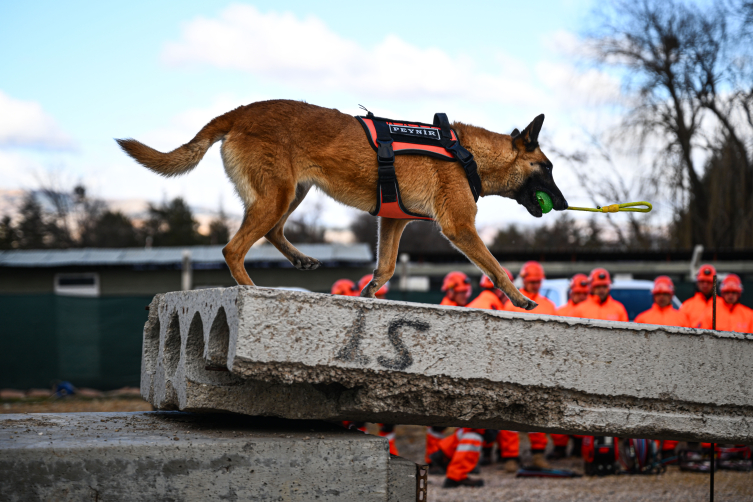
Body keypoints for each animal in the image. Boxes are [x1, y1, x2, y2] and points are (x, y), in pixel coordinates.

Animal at [116, 99, 564, 310]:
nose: (562, 204)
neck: (465, 153)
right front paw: (520, 298)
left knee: (272, 231)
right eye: (547, 168)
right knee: (232, 248)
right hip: (277, 195)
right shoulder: (460, 228)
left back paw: (299, 260)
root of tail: (240, 112)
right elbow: (496, 266)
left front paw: (368, 294)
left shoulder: (393, 223)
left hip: (290, 194)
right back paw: (251, 290)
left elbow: (386, 268)